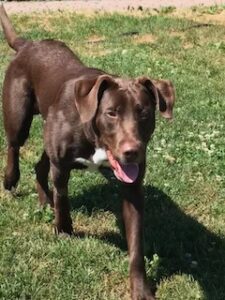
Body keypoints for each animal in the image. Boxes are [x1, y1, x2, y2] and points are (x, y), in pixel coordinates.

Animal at [0, 5, 175, 300]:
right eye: (111, 113)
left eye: (144, 113)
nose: (132, 152)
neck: (95, 137)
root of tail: (28, 43)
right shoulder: (62, 167)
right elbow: (63, 199)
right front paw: (63, 229)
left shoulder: (132, 189)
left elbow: (136, 245)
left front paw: (140, 287)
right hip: (19, 114)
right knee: (14, 145)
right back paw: (11, 179)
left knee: (40, 164)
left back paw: (42, 198)